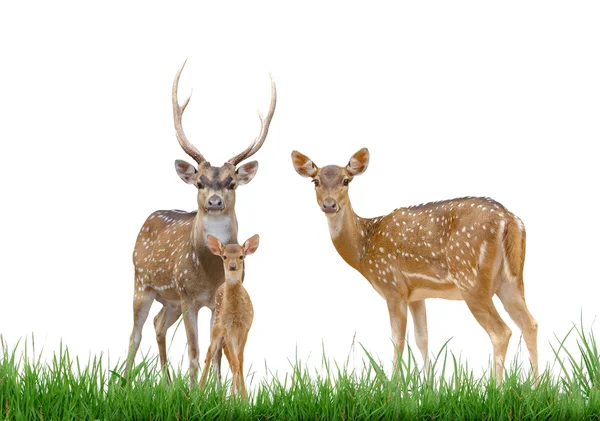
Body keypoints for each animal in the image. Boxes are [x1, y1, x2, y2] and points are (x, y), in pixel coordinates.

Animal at [199, 235, 260, 398]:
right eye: (224, 256)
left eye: (241, 256)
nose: (232, 266)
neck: (236, 312)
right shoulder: (228, 327)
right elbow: (235, 361)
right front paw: (233, 398)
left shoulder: (245, 327)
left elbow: (240, 361)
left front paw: (243, 398)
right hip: (217, 324)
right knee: (210, 351)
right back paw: (198, 390)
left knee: (227, 353)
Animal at [290, 148, 540, 384]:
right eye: (315, 181)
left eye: (346, 180)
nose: (329, 204)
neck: (364, 247)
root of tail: (509, 219)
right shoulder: (416, 295)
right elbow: (422, 339)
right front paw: (430, 387)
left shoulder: (392, 287)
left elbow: (398, 341)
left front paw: (393, 389)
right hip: (511, 280)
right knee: (530, 324)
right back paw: (536, 388)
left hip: (471, 280)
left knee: (501, 332)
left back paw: (496, 390)